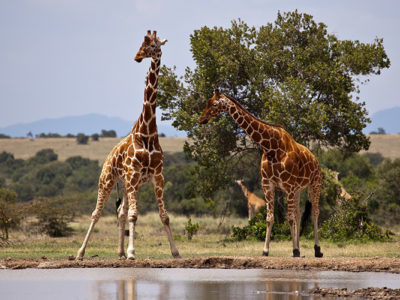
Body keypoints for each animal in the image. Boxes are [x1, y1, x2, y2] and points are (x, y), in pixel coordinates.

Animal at [75, 30, 181, 260]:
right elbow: (134, 215)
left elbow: (164, 216)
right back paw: (80, 252)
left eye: (153, 45)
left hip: (127, 185)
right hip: (107, 180)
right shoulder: (133, 175)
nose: (137, 56)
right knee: (97, 213)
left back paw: (120, 252)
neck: (147, 132)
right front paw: (133, 252)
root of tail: (107, 158)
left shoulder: (157, 176)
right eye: (143, 43)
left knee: (121, 211)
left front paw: (175, 251)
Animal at [199, 89, 322, 258]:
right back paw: (301, 248)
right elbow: (270, 218)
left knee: (315, 212)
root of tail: (315, 159)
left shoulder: (288, 185)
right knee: (298, 213)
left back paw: (317, 250)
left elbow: (289, 218)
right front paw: (266, 251)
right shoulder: (268, 184)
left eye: (215, 104)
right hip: (297, 189)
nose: (201, 119)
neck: (271, 147)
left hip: (314, 184)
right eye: (207, 102)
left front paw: (295, 251)